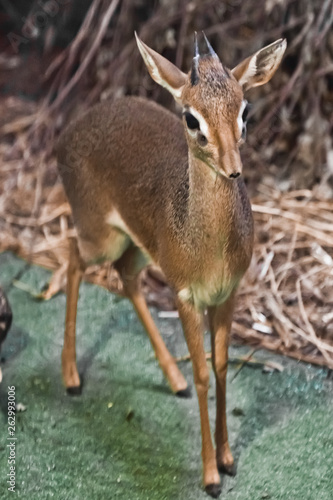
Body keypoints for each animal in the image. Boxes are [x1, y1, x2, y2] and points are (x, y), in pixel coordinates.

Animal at [57, 33, 286, 498]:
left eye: (245, 109)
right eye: (191, 118)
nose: (234, 170)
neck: (211, 250)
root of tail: (70, 131)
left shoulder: (228, 294)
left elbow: (221, 368)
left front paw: (228, 459)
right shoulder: (185, 297)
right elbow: (201, 373)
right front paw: (210, 475)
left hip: (140, 247)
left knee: (125, 277)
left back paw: (170, 380)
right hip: (100, 237)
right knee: (72, 255)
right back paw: (71, 377)